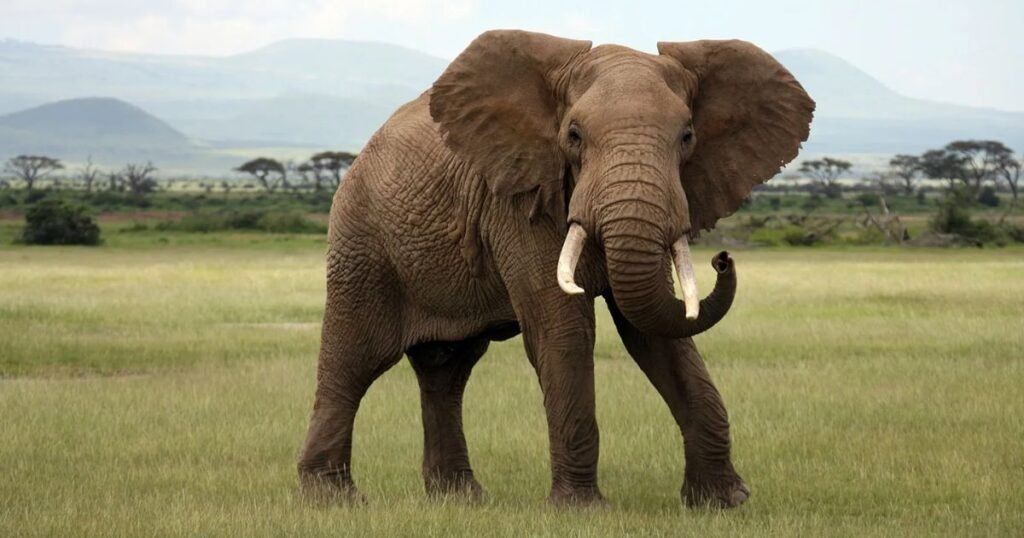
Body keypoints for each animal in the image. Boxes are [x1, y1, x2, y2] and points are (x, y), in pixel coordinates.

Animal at [297, 30, 814, 509]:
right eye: (574, 136)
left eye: (687, 137)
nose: (722, 259)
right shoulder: (518, 199)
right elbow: (563, 329)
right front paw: (583, 510)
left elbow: (657, 333)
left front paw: (724, 503)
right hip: (361, 244)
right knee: (354, 359)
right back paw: (333, 499)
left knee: (446, 371)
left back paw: (461, 500)